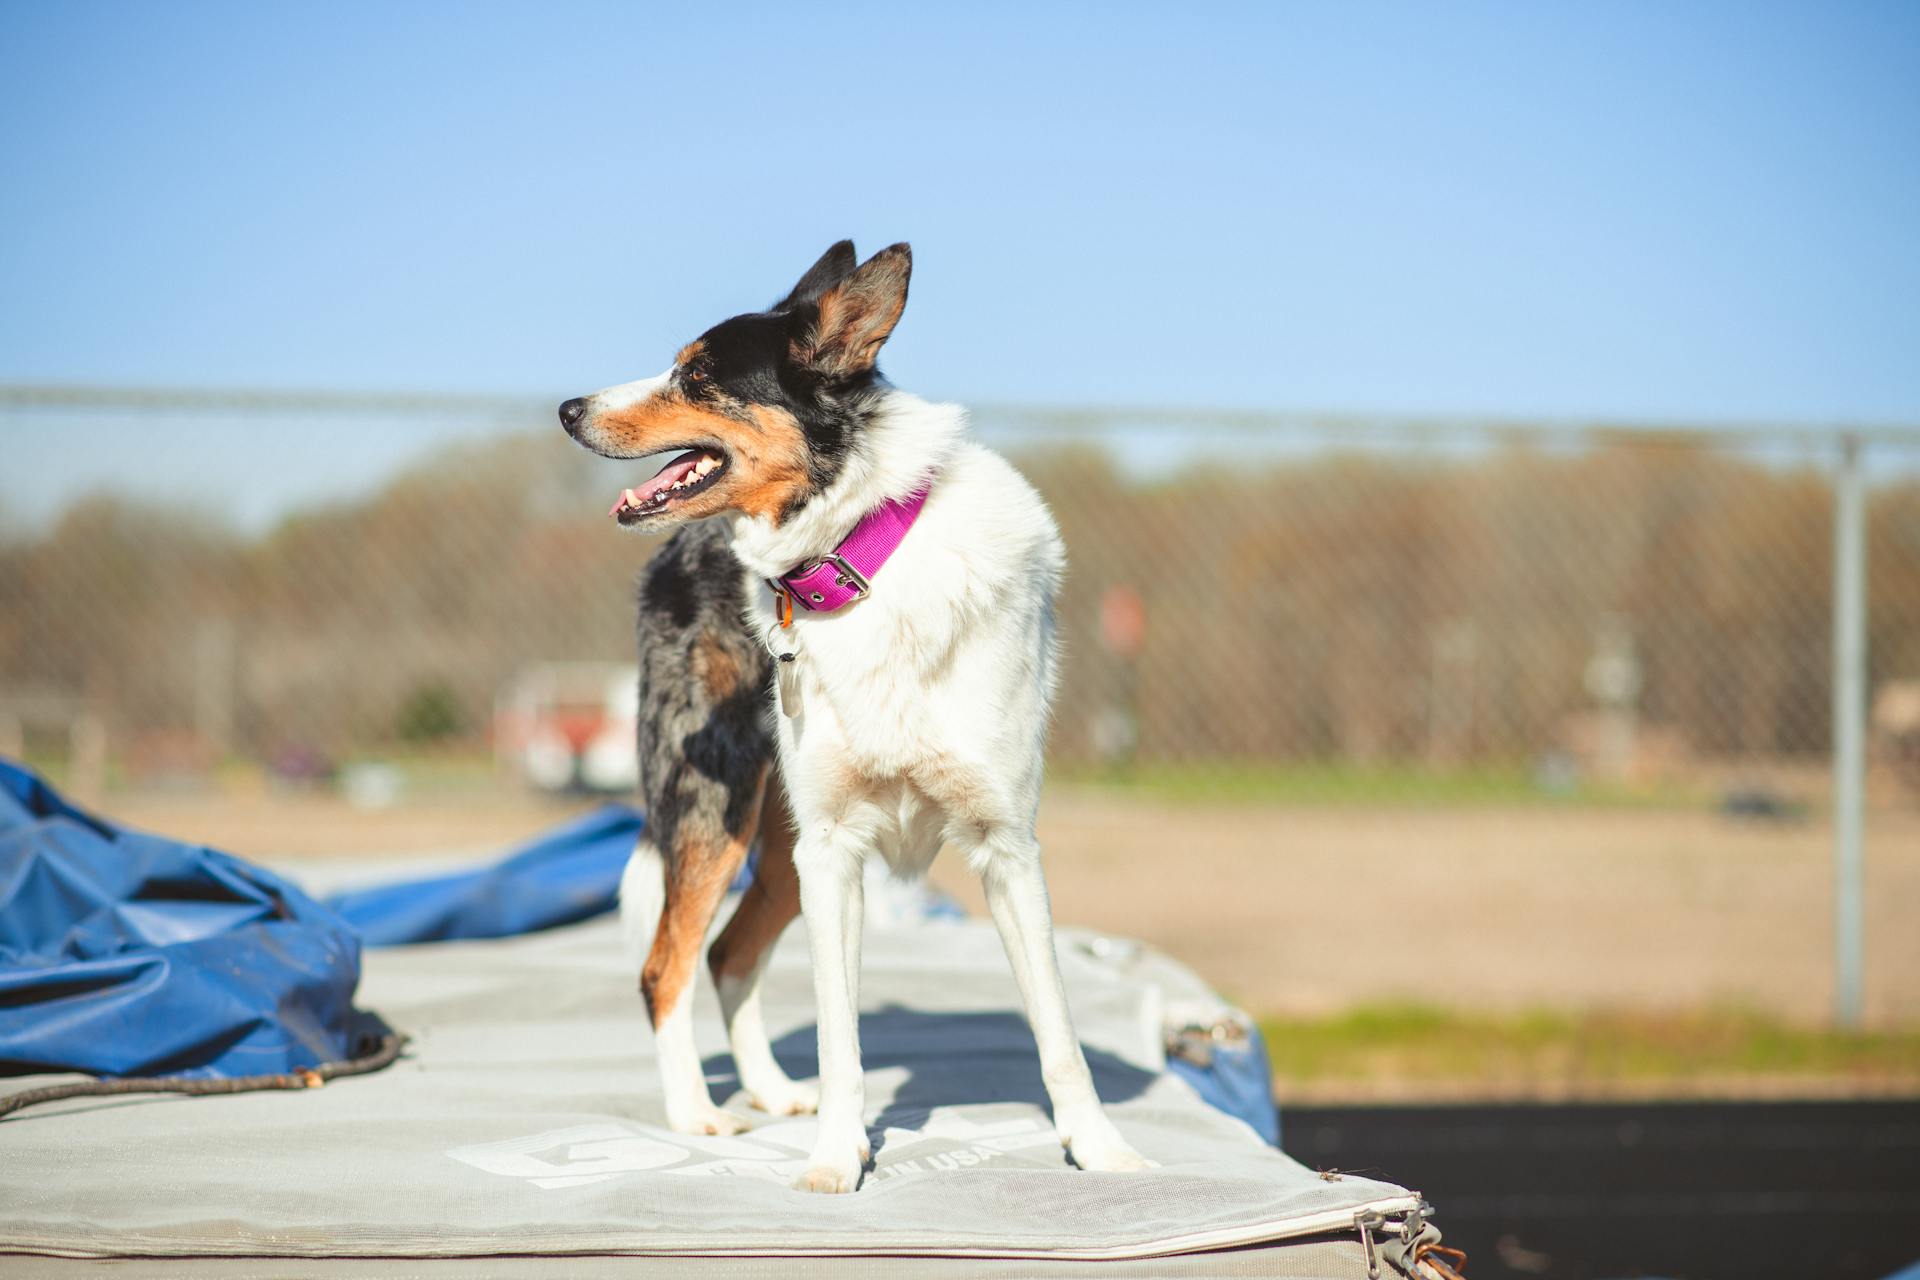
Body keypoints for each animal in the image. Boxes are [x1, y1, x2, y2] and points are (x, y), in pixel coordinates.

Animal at [560, 245, 1144, 1197]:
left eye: (697, 375)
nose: (568, 409)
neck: (858, 557)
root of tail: (676, 552)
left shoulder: (1006, 850)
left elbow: (1057, 1030)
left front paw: (1101, 1151)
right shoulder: (834, 853)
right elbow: (841, 1038)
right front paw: (839, 1159)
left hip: (775, 847)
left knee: (724, 956)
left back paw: (766, 1090)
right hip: (715, 812)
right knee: (664, 966)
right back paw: (696, 1115)